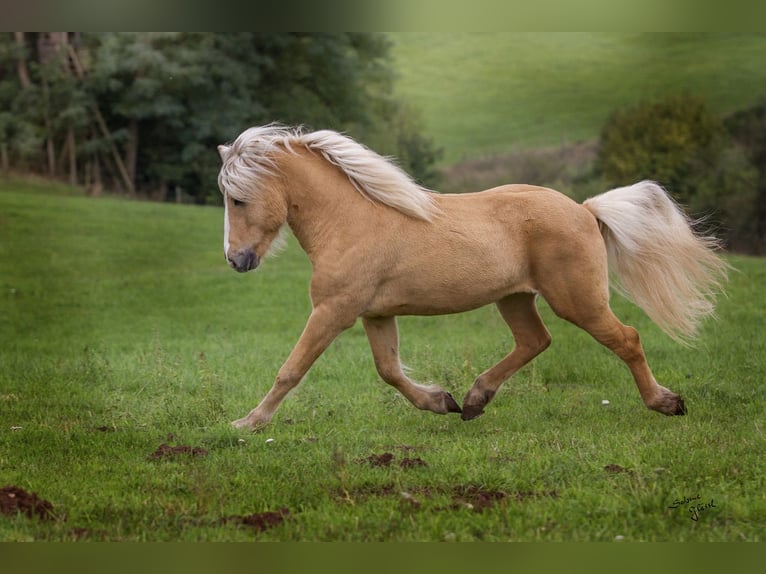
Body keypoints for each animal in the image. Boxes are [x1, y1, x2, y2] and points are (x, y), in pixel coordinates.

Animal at [217, 124, 728, 430]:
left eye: (239, 199)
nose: (237, 260)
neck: (351, 220)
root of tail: (585, 210)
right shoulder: (375, 315)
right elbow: (389, 371)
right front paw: (440, 401)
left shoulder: (333, 311)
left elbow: (291, 369)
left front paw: (248, 423)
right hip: (515, 298)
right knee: (535, 341)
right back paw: (475, 399)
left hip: (577, 300)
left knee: (627, 339)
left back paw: (666, 402)